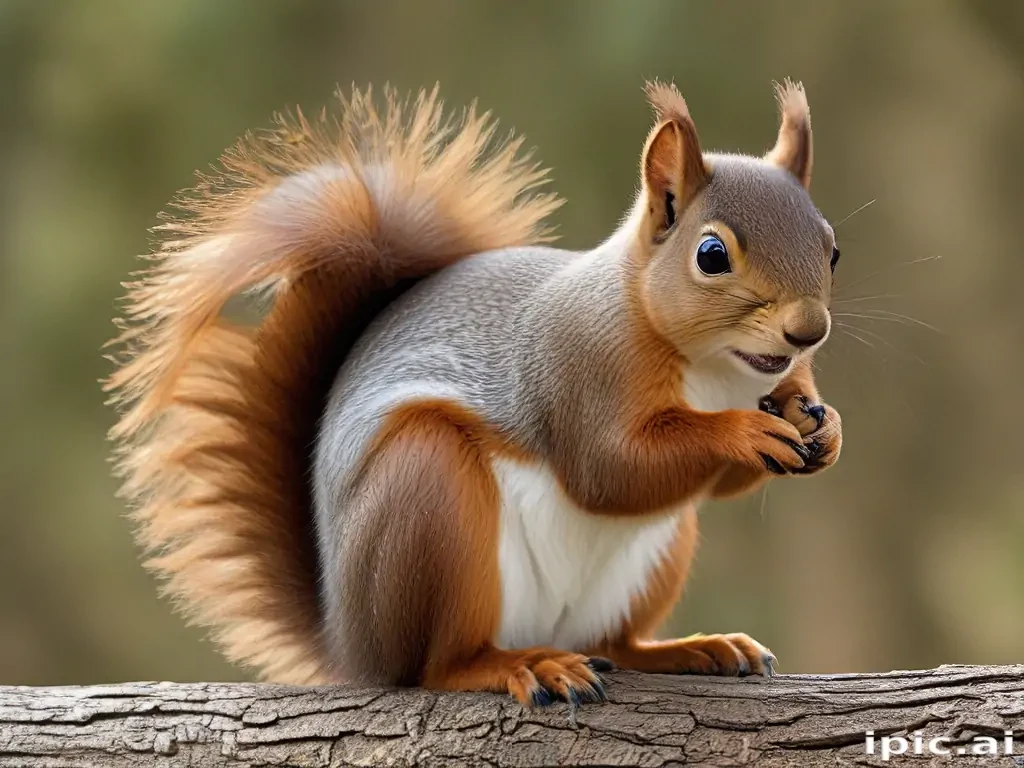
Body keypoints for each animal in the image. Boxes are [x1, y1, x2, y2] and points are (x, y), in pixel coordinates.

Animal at [105, 80, 843, 709]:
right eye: (711, 255)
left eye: (832, 248)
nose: (809, 331)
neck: (719, 372)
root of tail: (350, 642)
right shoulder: (578, 369)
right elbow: (609, 471)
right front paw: (741, 432)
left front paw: (823, 424)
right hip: (428, 499)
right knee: (436, 665)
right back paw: (521, 665)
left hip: (652, 558)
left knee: (613, 641)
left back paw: (692, 649)